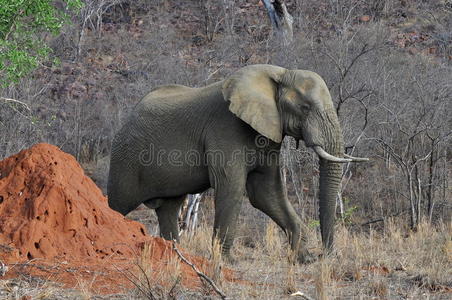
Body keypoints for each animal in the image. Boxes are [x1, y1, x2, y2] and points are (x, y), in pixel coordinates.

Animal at [107, 63, 366, 262]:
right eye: (305, 108)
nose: (326, 255)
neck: (281, 74)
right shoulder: (225, 129)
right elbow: (232, 188)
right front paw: (226, 261)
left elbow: (265, 192)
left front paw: (303, 258)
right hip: (125, 159)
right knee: (117, 205)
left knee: (169, 208)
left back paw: (174, 254)